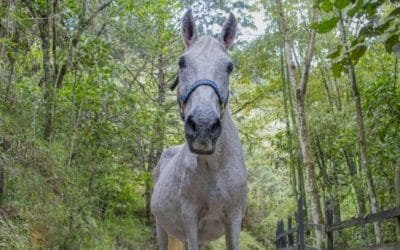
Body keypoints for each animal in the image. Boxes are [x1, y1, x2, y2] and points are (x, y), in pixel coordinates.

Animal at [151, 9, 247, 250]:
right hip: (161, 227)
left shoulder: (234, 219)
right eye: (181, 62)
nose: (203, 126)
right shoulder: (190, 218)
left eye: (229, 67)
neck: (215, 167)